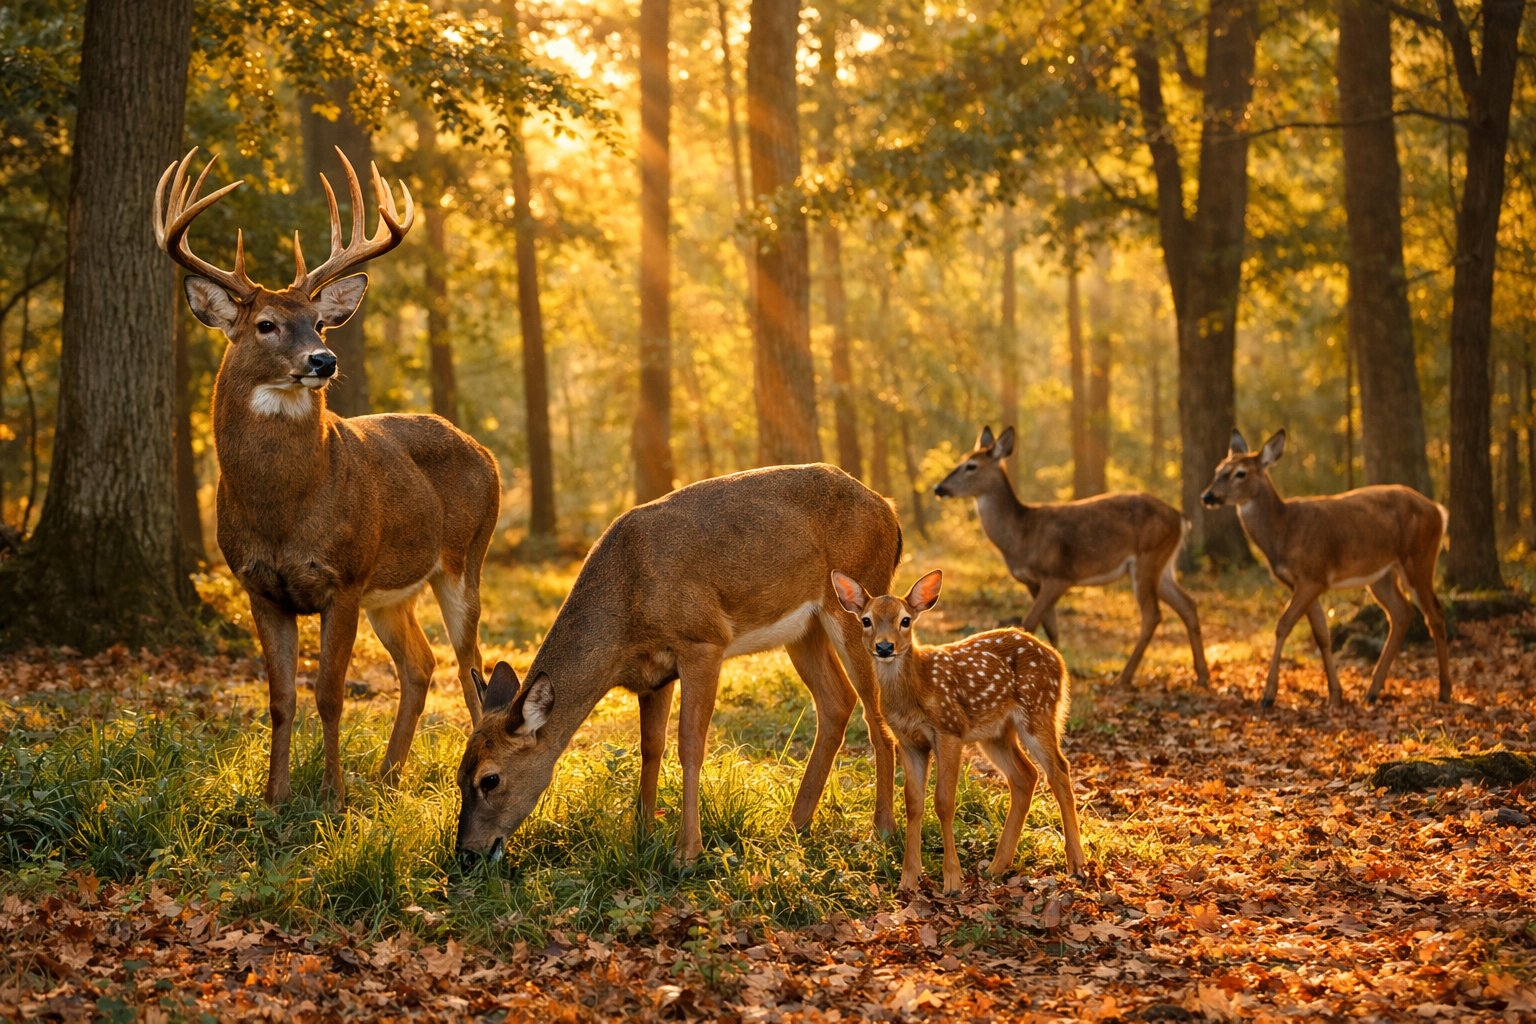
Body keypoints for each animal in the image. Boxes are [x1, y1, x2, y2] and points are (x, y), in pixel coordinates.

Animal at [153, 147, 501, 805]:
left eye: (318, 321)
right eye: (264, 323)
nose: (324, 359)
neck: (282, 512)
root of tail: (485, 451)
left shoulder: (343, 577)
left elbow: (331, 696)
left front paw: (333, 796)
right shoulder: (259, 585)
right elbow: (282, 699)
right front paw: (275, 797)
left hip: (464, 558)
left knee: (473, 669)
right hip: (392, 592)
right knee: (420, 664)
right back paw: (387, 776)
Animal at [453, 464, 901, 866]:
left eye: (490, 778)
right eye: (458, 776)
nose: (466, 855)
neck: (626, 610)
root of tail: (890, 513)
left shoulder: (703, 641)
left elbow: (690, 744)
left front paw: (686, 853)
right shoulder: (653, 675)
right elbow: (651, 747)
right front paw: (642, 833)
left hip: (856, 609)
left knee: (876, 713)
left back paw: (881, 829)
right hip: (803, 630)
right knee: (837, 702)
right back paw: (795, 824)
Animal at [830, 568, 1085, 891]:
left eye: (905, 620)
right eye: (866, 620)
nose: (885, 647)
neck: (916, 691)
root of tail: (1058, 660)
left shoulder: (949, 731)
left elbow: (943, 802)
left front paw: (952, 880)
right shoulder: (908, 741)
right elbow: (913, 803)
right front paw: (908, 879)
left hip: (1038, 711)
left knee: (1059, 771)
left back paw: (1076, 863)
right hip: (995, 733)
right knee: (1026, 775)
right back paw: (997, 866)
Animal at [934, 426, 1209, 687]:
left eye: (971, 466)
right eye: (961, 458)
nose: (939, 488)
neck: (1021, 534)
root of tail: (1180, 517)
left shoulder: (1059, 575)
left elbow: (1029, 622)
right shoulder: (1034, 582)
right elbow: (1051, 629)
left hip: (1148, 557)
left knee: (1152, 614)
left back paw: (1124, 678)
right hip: (1163, 565)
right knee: (1188, 604)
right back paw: (1202, 676)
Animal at [1202, 429, 1452, 708]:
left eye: (1240, 473)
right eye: (1218, 469)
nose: (1208, 496)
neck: (1283, 530)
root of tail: (1439, 511)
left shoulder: (1313, 575)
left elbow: (1283, 625)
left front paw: (1268, 695)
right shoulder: (1306, 581)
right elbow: (1321, 634)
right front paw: (1335, 695)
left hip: (1419, 558)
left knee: (1434, 613)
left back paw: (1444, 691)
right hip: (1382, 575)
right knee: (1402, 613)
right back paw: (1372, 691)